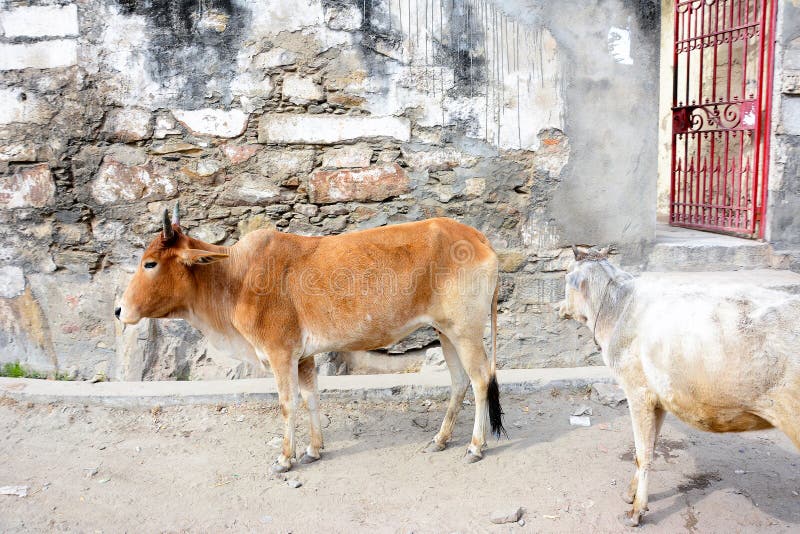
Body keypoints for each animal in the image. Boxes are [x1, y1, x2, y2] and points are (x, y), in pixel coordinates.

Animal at [117, 206, 506, 474]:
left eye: (150, 263)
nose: (120, 310)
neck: (236, 277)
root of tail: (477, 236)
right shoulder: (302, 357)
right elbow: (311, 398)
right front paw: (314, 450)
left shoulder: (280, 354)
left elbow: (288, 404)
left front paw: (285, 458)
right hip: (445, 331)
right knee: (459, 382)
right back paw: (440, 439)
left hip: (466, 331)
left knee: (480, 380)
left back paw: (475, 446)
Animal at [560, 247, 796, 528]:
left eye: (565, 275)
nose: (559, 308)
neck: (616, 310)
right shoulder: (659, 399)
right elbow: (650, 447)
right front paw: (631, 494)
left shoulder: (637, 392)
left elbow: (642, 453)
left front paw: (636, 511)